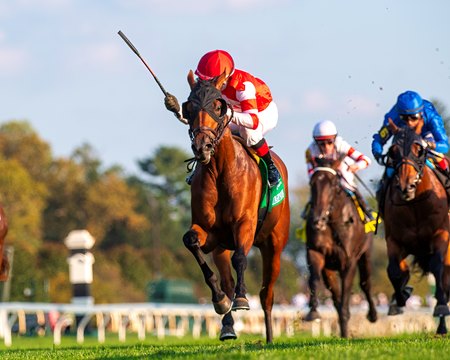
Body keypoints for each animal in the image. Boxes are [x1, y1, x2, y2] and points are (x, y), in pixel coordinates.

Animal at [181, 70, 290, 344]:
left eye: (218, 106)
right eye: (189, 107)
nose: (202, 147)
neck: (221, 171)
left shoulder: (245, 224)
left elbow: (241, 257)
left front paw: (242, 299)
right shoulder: (210, 234)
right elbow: (191, 241)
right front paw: (219, 301)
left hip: (274, 246)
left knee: (267, 294)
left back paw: (269, 338)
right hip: (222, 247)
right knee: (228, 281)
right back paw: (228, 325)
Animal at [304, 158, 378, 338]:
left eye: (333, 184)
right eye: (312, 183)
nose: (318, 219)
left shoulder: (349, 261)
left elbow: (347, 292)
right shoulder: (316, 253)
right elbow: (314, 279)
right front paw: (313, 312)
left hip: (365, 255)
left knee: (366, 283)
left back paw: (372, 315)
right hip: (330, 269)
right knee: (336, 296)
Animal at [382, 120, 448, 334]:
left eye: (419, 149)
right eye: (393, 150)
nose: (406, 186)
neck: (415, 205)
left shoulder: (441, 234)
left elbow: (438, 267)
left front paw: (440, 307)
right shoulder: (395, 240)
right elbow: (395, 271)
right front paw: (400, 297)